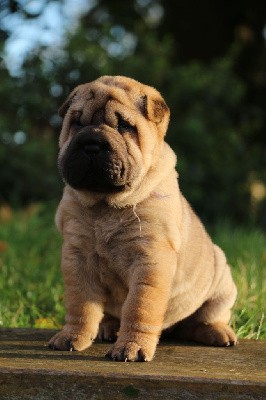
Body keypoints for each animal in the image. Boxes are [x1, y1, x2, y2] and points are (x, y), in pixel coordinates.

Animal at [48, 76, 238, 362]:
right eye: (77, 123)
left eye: (125, 126)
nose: (91, 143)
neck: (105, 204)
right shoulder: (77, 258)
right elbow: (81, 304)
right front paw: (72, 336)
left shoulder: (150, 260)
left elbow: (139, 307)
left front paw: (132, 347)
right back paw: (109, 327)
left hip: (221, 281)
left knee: (203, 319)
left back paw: (218, 333)